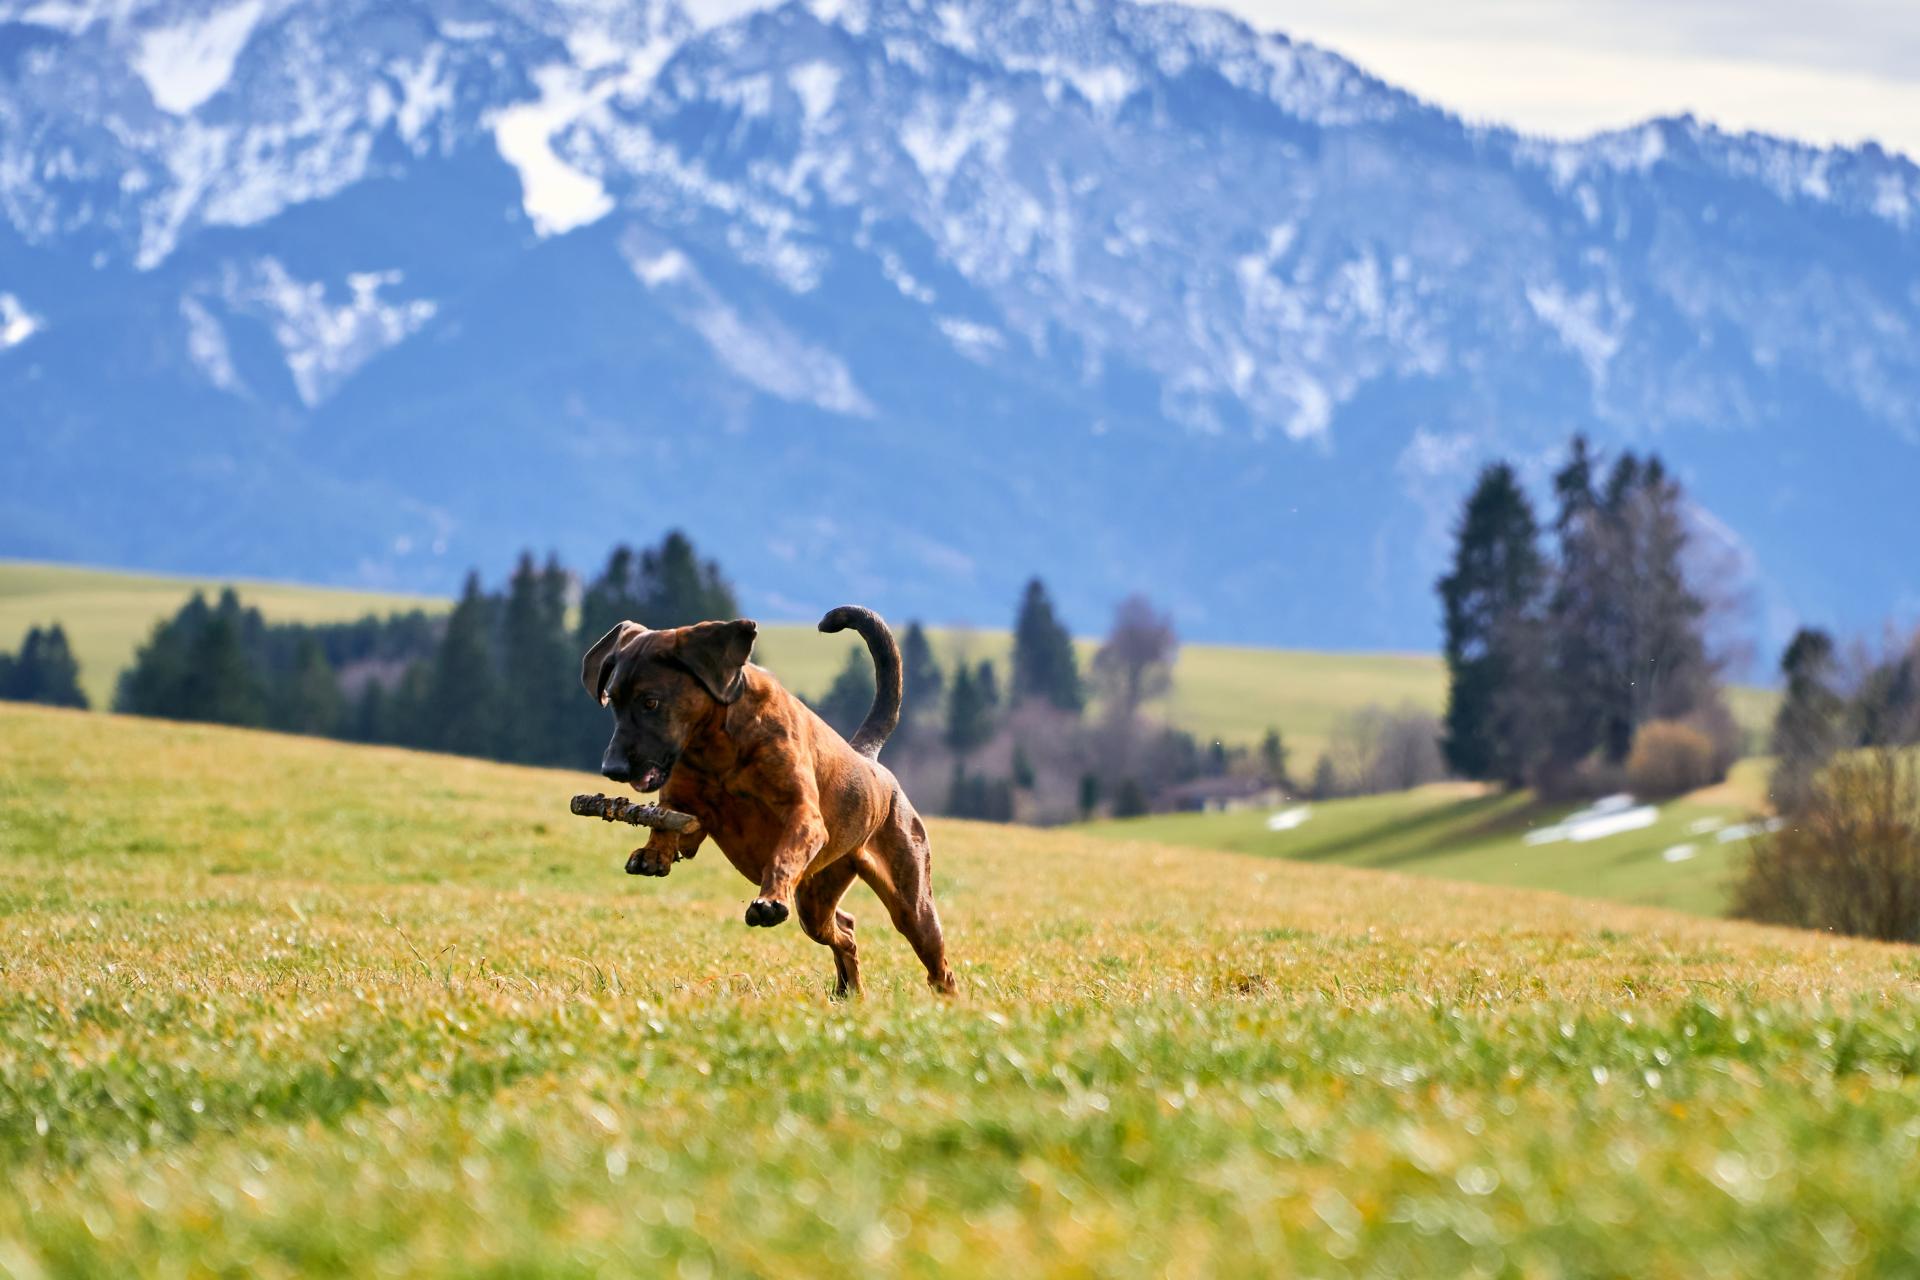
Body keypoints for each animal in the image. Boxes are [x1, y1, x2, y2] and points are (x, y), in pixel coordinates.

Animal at [576, 606, 952, 997]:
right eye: (613, 701)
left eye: (651, 702)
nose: (612, 768)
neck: (715, 744)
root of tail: (868, 760)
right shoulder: (689, 809)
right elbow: (667, 821)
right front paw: (652, 853)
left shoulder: (803, 817)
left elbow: (782, 856)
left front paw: (768, 901)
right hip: (816, 899)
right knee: (844, 929)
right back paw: (847, 991)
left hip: (911, 902)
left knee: (935, 959)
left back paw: (946, 999)